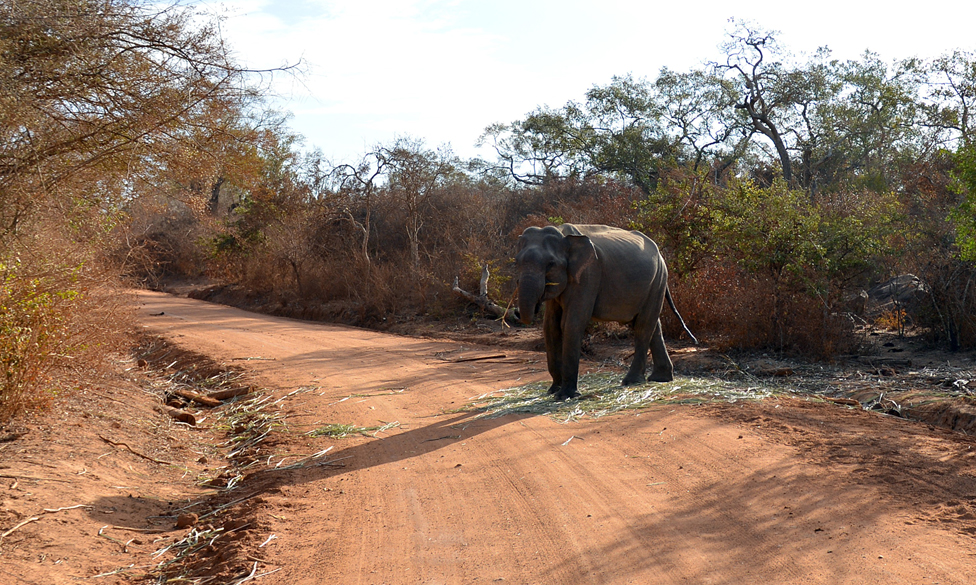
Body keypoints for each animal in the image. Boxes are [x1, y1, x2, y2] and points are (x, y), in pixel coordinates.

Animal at [515, 223, 696, 400]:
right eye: (517, 262)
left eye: (551, 264)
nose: (516, 312)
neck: (563, 235)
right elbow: (550, 326)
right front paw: (553, 391)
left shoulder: (589, 273)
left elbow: (572, 323)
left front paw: (565, 396)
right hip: (655, 282)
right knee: (652, 324)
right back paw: (660, 379)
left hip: (658, 279)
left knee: (643, 326)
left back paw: (631, 381)